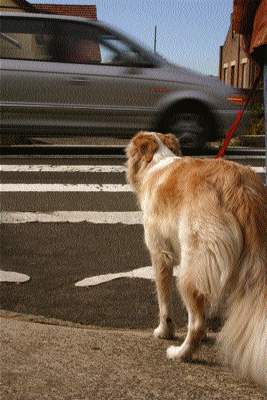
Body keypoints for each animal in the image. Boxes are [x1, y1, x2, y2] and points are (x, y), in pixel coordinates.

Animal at [126, 131, 267, 388]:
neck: (158, 161)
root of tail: (240, 188)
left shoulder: (160, 256)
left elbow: (163, 303)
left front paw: (164, 332)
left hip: (191, 268)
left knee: (197, 325)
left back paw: (181, 354)